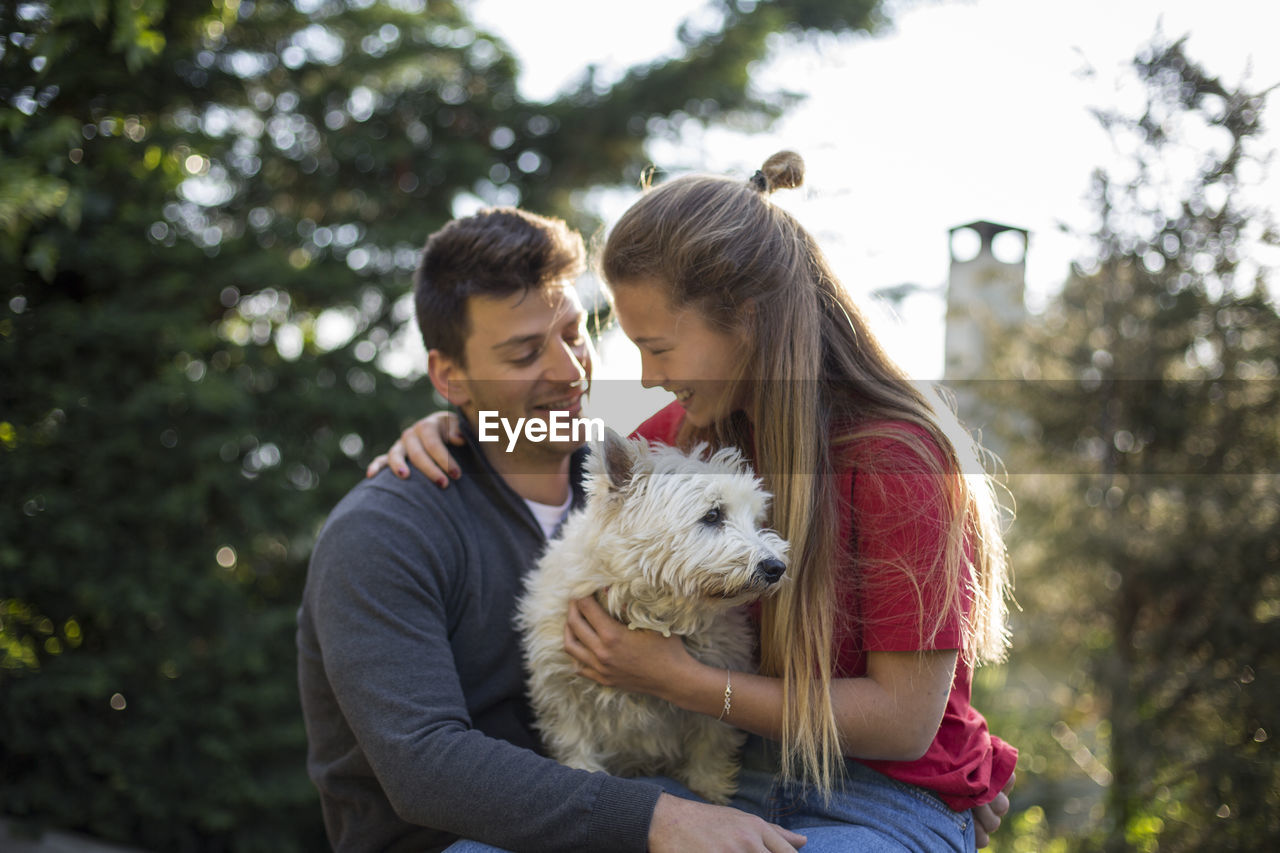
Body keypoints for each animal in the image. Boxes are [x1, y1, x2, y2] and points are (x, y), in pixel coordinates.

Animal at [514, 427, 783, 799]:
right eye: (713, 515)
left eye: (756, 521)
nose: (777, 567)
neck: (654, 614)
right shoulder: (562, 695)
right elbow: (575, 746)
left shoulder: (709, 708)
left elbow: (709, 754)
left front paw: (711, 793)